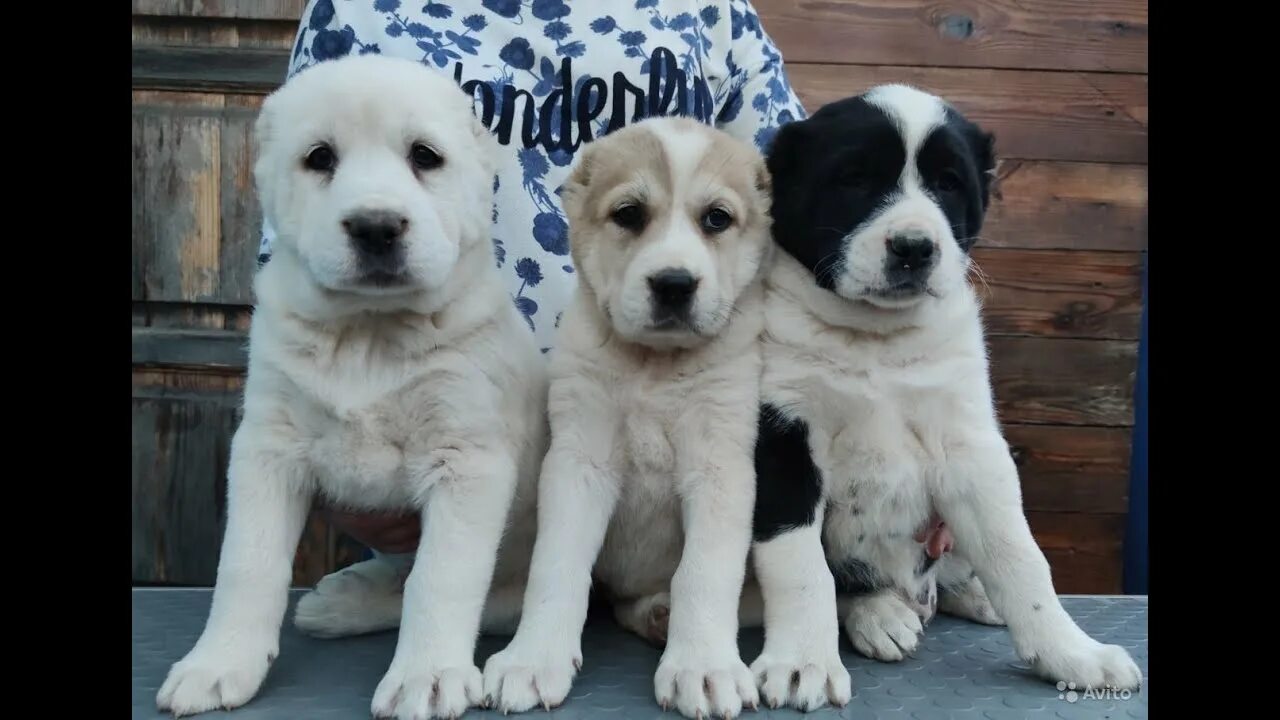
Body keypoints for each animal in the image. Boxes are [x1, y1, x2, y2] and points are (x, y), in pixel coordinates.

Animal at [153, 56, 545, 717]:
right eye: (319, 158)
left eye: (425, 156)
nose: (376, 227)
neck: (370, 333)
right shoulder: (267, 447)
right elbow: (247, 563)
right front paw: (219, 663)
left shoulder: (468, 460)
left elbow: (440, 578)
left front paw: (427, 676)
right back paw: (341, 601)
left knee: (489, 598)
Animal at [483, 117, 773, 717]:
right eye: (629, 214)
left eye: (717, 218)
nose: (674, 284)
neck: (653, 368)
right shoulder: (578, 463)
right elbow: (556, 567)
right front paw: (532, 659)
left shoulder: (720, 468)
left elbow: (704, 573)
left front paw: (703, 666)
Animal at [747, 83, 1146, 707]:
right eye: (854, 179)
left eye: (949, 184)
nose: (914, 247)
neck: (875, 338)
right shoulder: (783, 441)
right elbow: (800, 564)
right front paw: (802, 662)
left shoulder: (970, 447)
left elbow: (1019, 556)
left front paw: (1072, 654)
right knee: (849, 582)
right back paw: (880, 614)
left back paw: (973, 596)